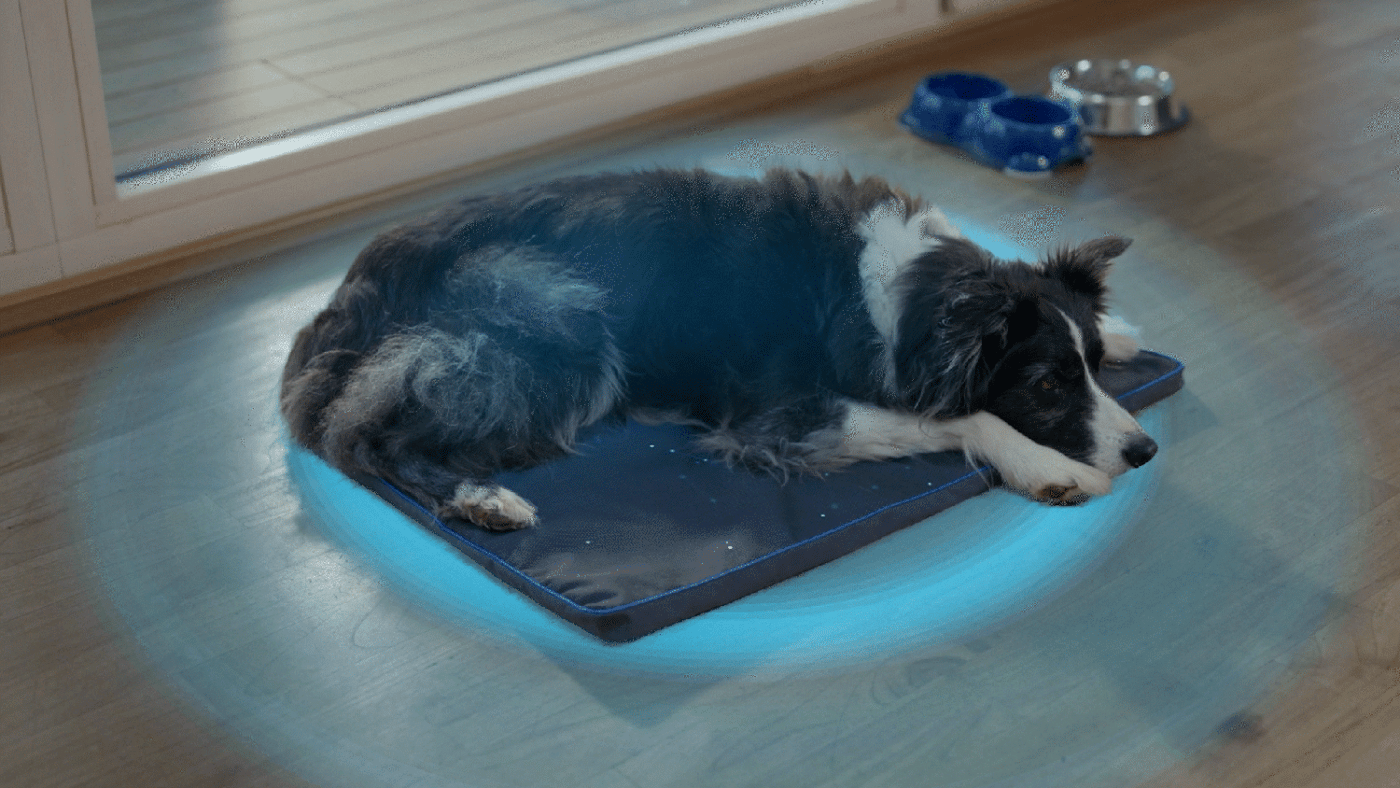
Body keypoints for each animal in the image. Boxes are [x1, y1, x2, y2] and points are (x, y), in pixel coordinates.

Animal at [281, 169, 1159, 534]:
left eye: (1085, 368)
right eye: (1044, 385)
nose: (1146, 451)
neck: (909, 294)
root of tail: (350, 295)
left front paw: (1122, 331)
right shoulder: (778, 420)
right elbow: (963, 420)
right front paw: (1048, 467)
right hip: (559, 323)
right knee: (367, 439)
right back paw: (479, 499)